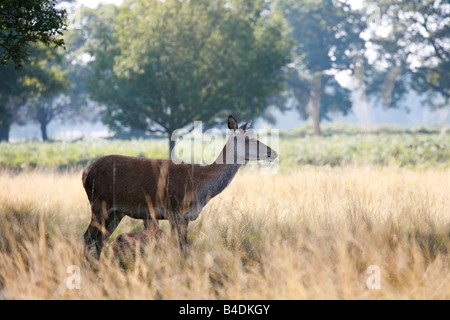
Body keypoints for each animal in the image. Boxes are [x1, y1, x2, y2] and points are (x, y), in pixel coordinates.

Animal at [82, 114, 276, 258]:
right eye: (249, 139)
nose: (273, 152)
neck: (199, 186)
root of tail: (86, 172)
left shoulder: (186, 217)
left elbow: (184, 248)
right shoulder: (174, 211)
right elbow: (180, 249)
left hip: (116, 212)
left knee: (101, 239)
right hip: (98, 204)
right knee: (88, 238)